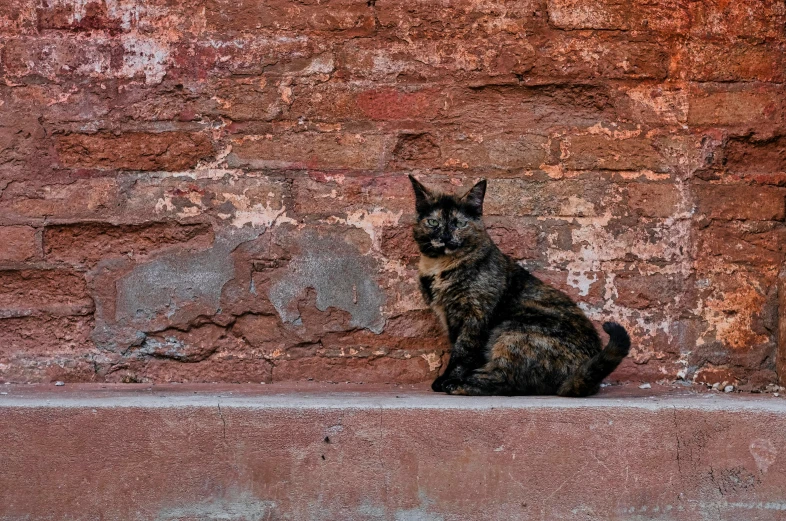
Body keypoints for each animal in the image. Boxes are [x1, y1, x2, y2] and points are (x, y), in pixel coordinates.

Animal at [408, 175, 628, 394]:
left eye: (460, 223)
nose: (445, 238)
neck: (439, 267)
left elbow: (463, 350)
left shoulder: (475, 315)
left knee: (506, 380)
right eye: (433, 222)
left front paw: (448, 379)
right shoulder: (448, 316)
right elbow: (457, 347)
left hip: (514, 327)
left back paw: (460, 385)